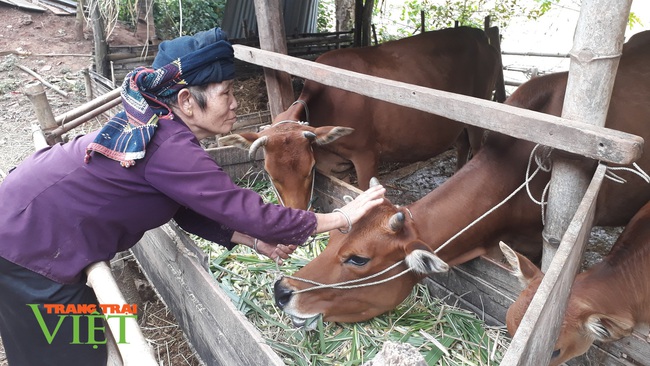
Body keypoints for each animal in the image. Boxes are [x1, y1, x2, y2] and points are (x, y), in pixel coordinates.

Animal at [220, 27, 498, 210]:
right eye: (269, 173)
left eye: (308, 170)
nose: (298, 214)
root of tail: (478, 33)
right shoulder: (334, 166)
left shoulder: (366, 155)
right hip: (455, 124)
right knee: (462, 145)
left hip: (479, 113)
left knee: (478, 149)